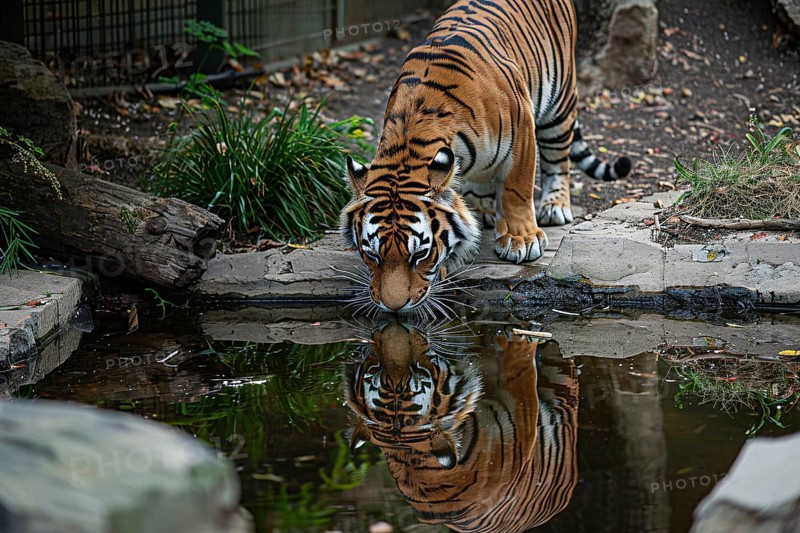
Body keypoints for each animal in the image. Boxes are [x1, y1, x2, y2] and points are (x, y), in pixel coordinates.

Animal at [340, 0, 631, 313]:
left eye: (419, 255)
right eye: (372, 254)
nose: (393, 307)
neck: (410, 143)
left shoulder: (523, 130)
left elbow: (517, 190)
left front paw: (521, 240)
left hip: (560, 101)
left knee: (557, 160)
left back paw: (553, 207)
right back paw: (483, 213)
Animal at [344, 321, 579, 532]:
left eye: (415, 369)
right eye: (377, 368)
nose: (388, 328)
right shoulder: (522, 423)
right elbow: (520, 372)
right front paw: (517, 342)